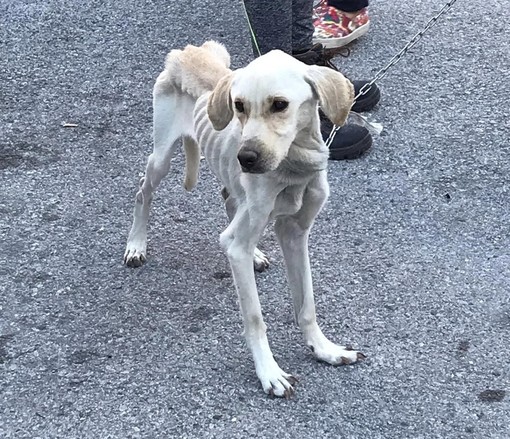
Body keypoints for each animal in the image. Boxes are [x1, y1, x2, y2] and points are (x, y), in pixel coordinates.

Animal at [123, 41, 362, 398]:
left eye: (280, 105)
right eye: (238, 106)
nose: (245, 158)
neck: (294, 167)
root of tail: (188, 51)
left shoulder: (295, 234)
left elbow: (306, 304)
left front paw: (323, 349)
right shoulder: (238, 248)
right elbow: (254, 317)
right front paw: (270, 373)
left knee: (229, 198)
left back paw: (257, 254)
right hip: (162, 157)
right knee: (142, 191)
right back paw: (136, 245)